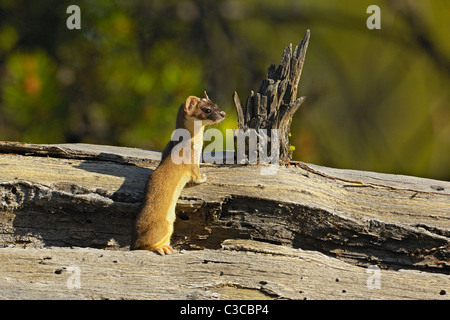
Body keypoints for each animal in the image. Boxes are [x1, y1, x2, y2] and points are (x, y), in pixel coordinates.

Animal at [131, 92, 227, 255]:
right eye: (207, 110)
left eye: (216, 105)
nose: (223, 113)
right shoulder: (191, 158)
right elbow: (195, 174)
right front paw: (203, 177)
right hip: (163, 225)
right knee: (145, 243)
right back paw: (162, 248)